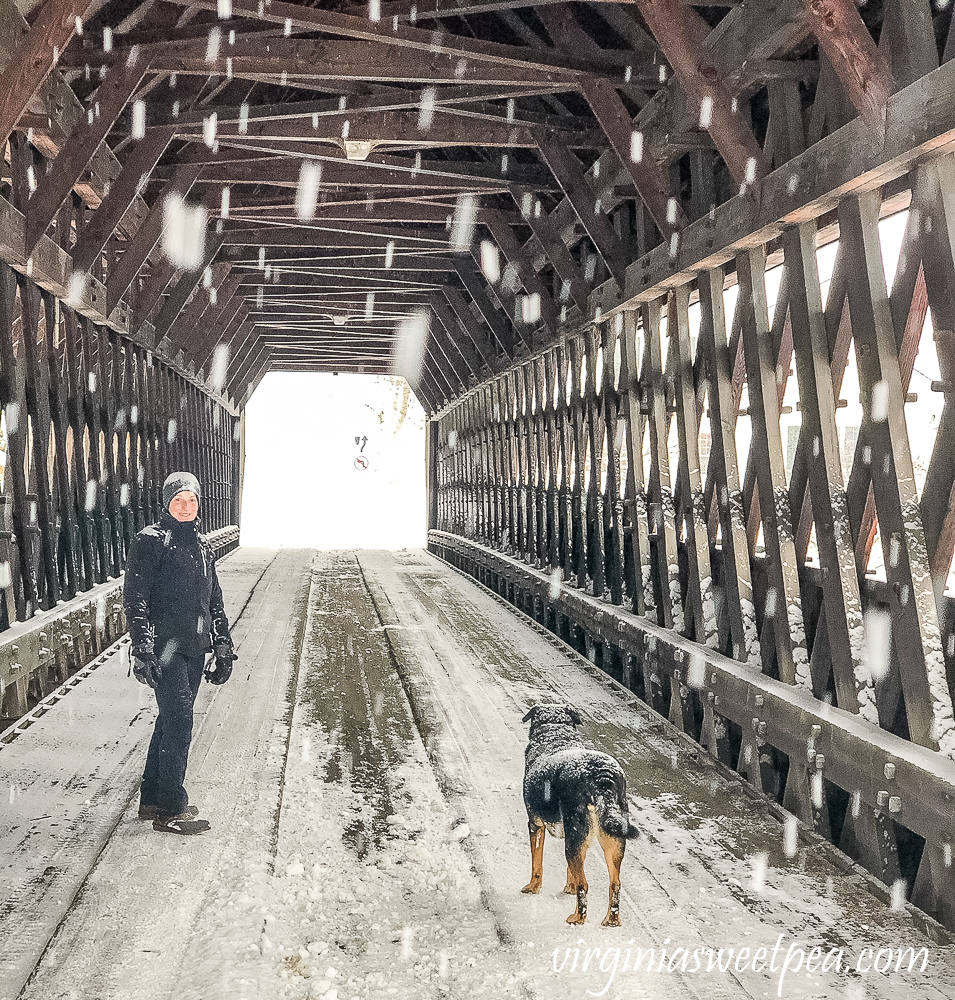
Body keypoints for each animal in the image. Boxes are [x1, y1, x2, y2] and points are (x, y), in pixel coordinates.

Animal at [520, 708, 640, 924]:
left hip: (577, 834)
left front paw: (533, 888)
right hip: (613, 837)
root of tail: (602, 777)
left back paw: (578, 917)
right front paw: (569, 887)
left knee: (585, 884)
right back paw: (611, 920)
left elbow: (536, 863)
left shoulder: (535, 824)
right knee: (615, 883)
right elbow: (571, 872)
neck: (555, 733)